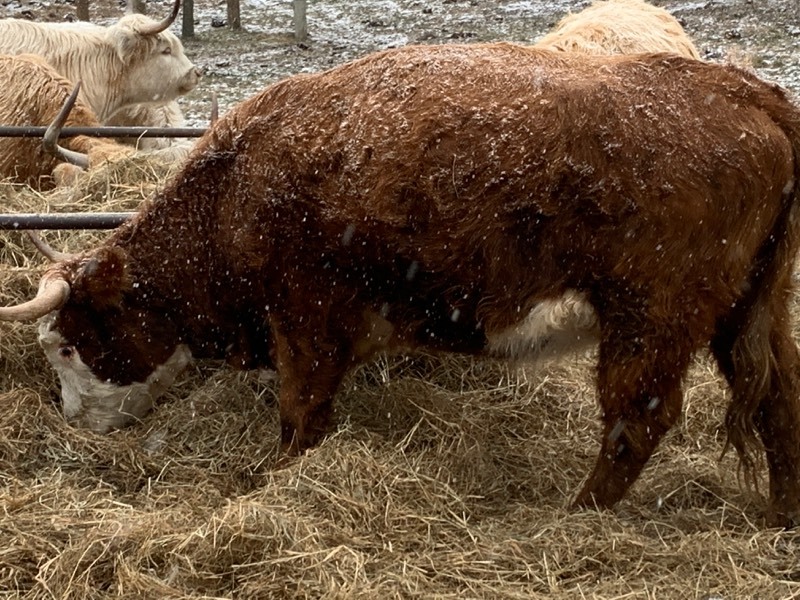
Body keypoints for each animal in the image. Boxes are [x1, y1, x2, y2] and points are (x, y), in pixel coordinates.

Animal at [2, 43, 799, 527]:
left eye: (66, 347)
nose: (75, 421)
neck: (239, 185)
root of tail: (743, 91)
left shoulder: (307, 322)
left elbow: (300, 418)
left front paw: (275, 481)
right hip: (753, 312)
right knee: (777, 402)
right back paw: (780, 515)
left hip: (650, 319)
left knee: (638, 422)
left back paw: (577, 515)